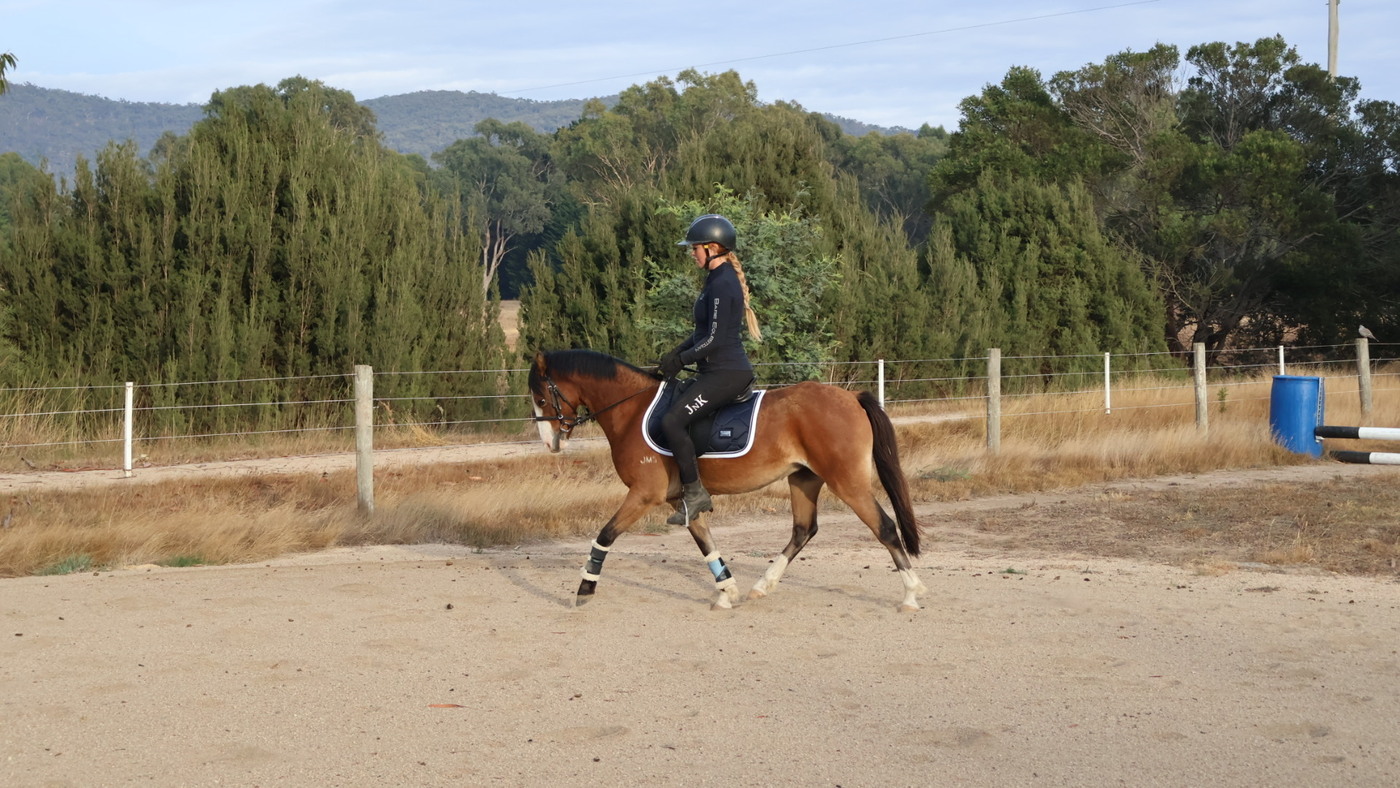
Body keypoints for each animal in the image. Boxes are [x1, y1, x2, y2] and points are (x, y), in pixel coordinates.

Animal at [527, 349, 928, 611]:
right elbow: (706, 543)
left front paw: (584, 588)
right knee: (803, 530)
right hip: (804, 479)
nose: (549, 442)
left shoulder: (644, 495)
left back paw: (911, 595)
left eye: (540, 395)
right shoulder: (682, 500)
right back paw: (762, 586)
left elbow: (605, 535)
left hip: (847, 481)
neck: (632, 409)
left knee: (884, 527)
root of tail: (852, 397)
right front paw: (727, 592)